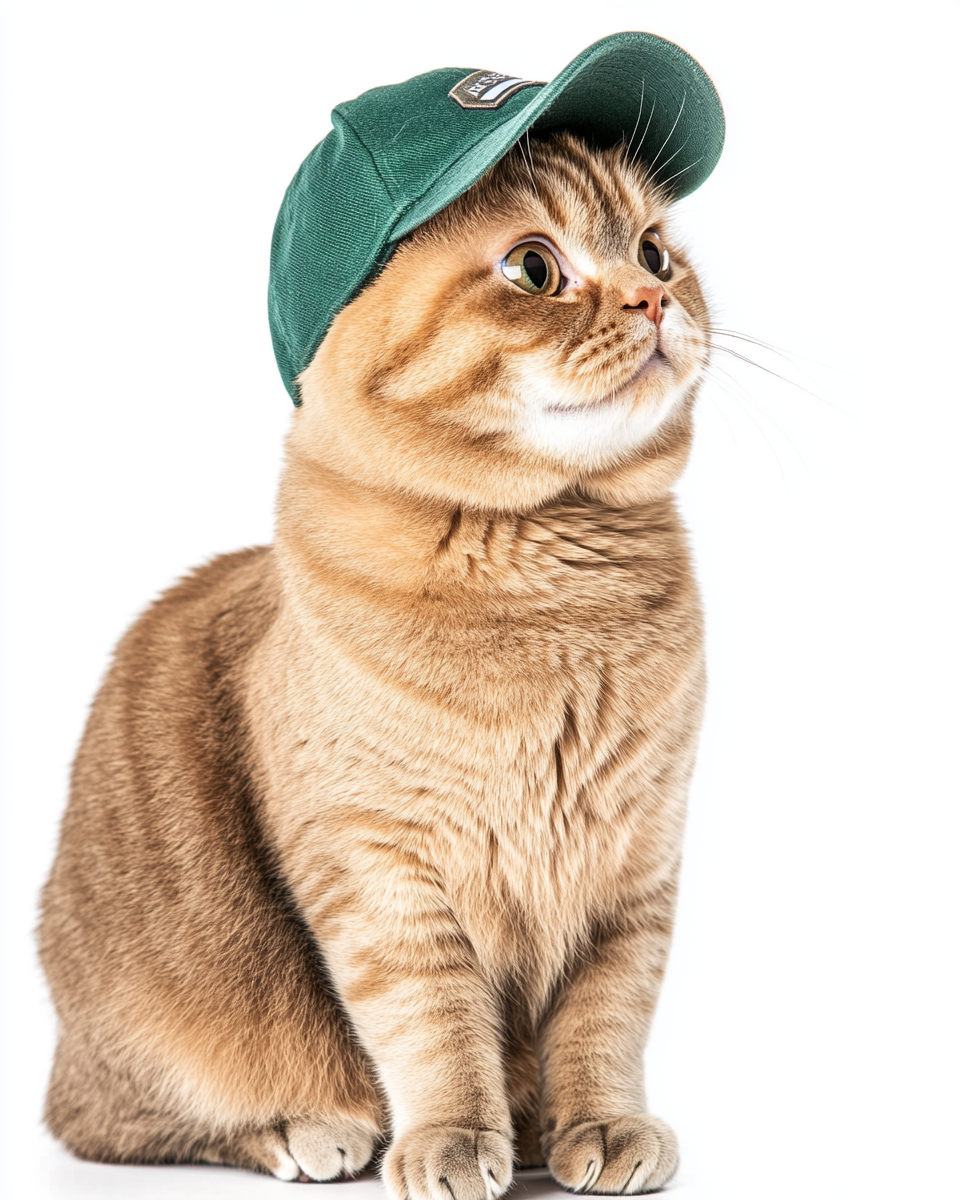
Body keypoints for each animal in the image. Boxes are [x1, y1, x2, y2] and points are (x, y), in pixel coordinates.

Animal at [37, 129, 710, 1190]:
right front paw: (457, 1138)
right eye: (534, 269)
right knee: (114, 1119)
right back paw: (309, 1128)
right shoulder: (379, 869)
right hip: (160, 1028)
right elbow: (431, 1019)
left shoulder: (633, 866)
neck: (558, 600)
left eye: (654, 252)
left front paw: (598, 1126)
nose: (653, 299)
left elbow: (605, 1017)